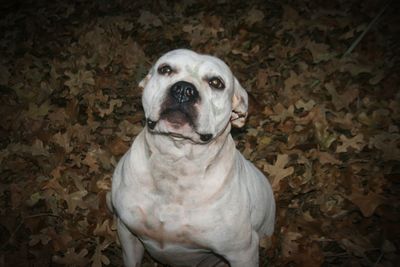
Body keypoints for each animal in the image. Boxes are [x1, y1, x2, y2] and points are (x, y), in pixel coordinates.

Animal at [107, 49, 276, 266]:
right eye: (165, 69)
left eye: (216, 83)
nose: (184, 89)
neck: (175, 162)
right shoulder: (128, 233)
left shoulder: (243, 253)